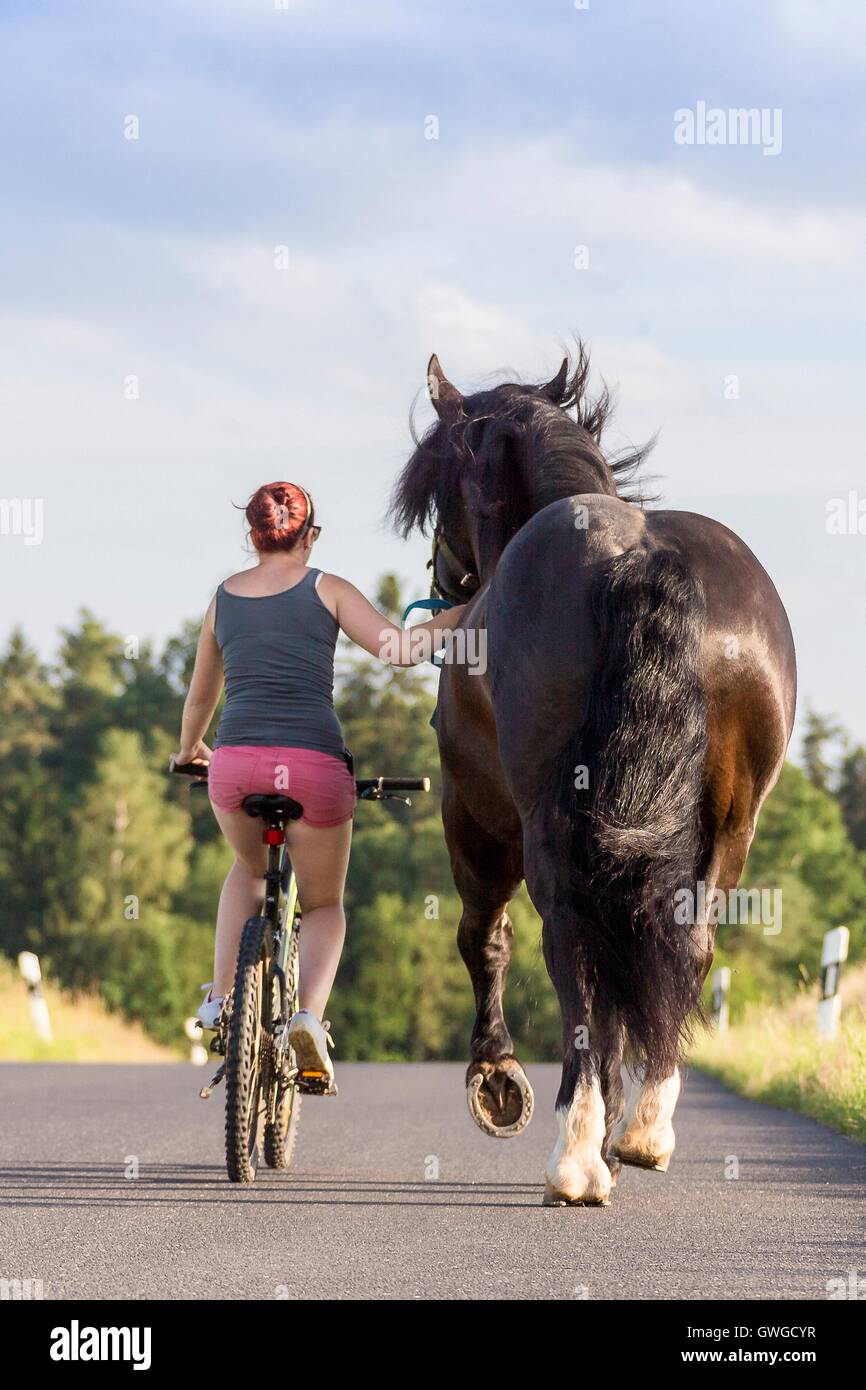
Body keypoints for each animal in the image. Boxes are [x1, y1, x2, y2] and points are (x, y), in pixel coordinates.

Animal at [391, 344, 800, 1206]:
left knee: (572, 944)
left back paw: (576, 1158)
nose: (446, 586)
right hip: (728, 824)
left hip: (546, 825)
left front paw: (496, 1079)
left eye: (442, 487)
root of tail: (644, 557)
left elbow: (485, 938)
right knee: (686, 939)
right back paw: (641, 1132)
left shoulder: (472, 815)